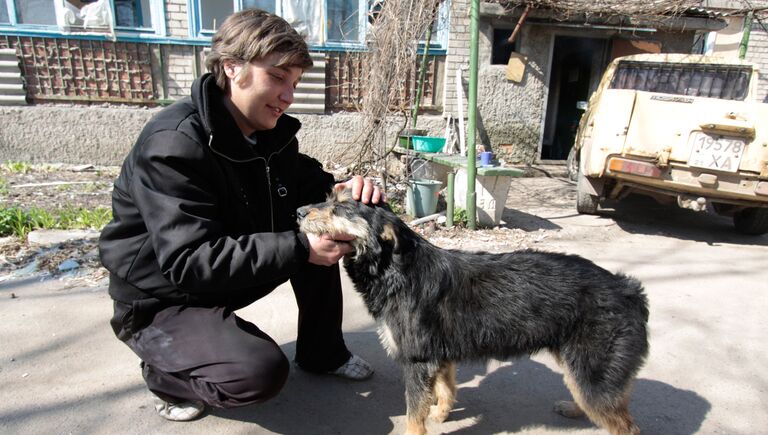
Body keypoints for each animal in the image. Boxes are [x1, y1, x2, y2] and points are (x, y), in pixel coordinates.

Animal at [296, 191, 644, 435]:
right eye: (329, 197)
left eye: (341, 208)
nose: (298, 211)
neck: (397, 270)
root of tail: (627, 288)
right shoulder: (438, 354)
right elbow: (445, 388)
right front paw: (440, 413)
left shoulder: (417, 361)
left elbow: (413, 414)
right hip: (579, 366)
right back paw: (574, 408)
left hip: (592, 370)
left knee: (626, 425)